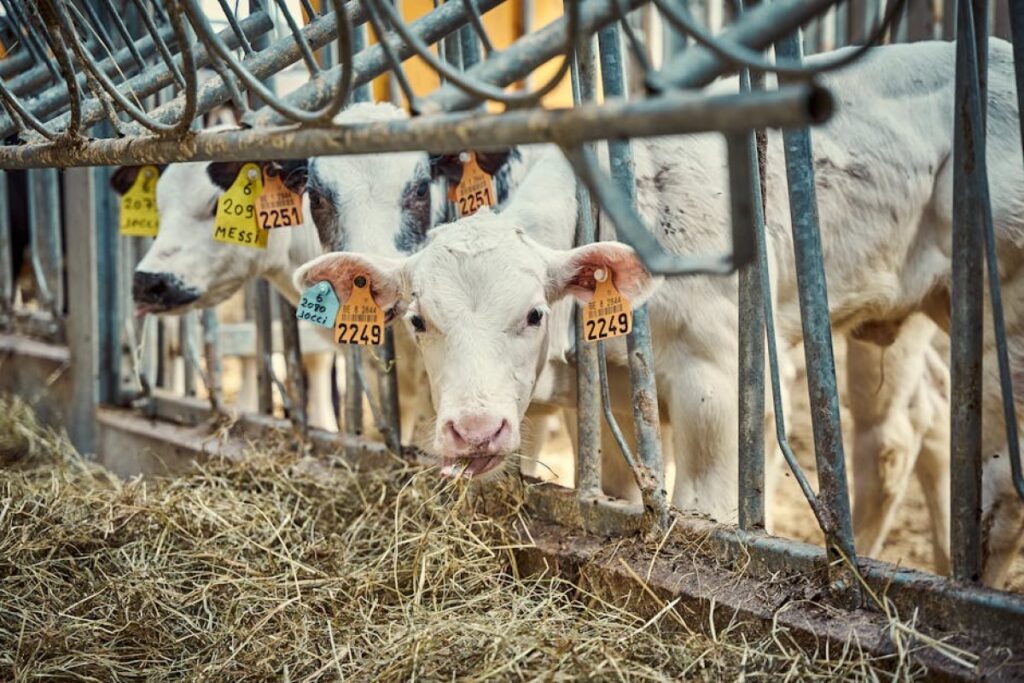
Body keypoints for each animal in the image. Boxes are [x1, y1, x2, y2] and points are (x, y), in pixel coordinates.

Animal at [294, 40, 1023, 587]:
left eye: (533, 315)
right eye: (419, 321)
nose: (475, 430)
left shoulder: (714, 382)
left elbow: (705, 507)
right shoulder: (618, 386)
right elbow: (619, 491)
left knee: (980, 478)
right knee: (919, 430)